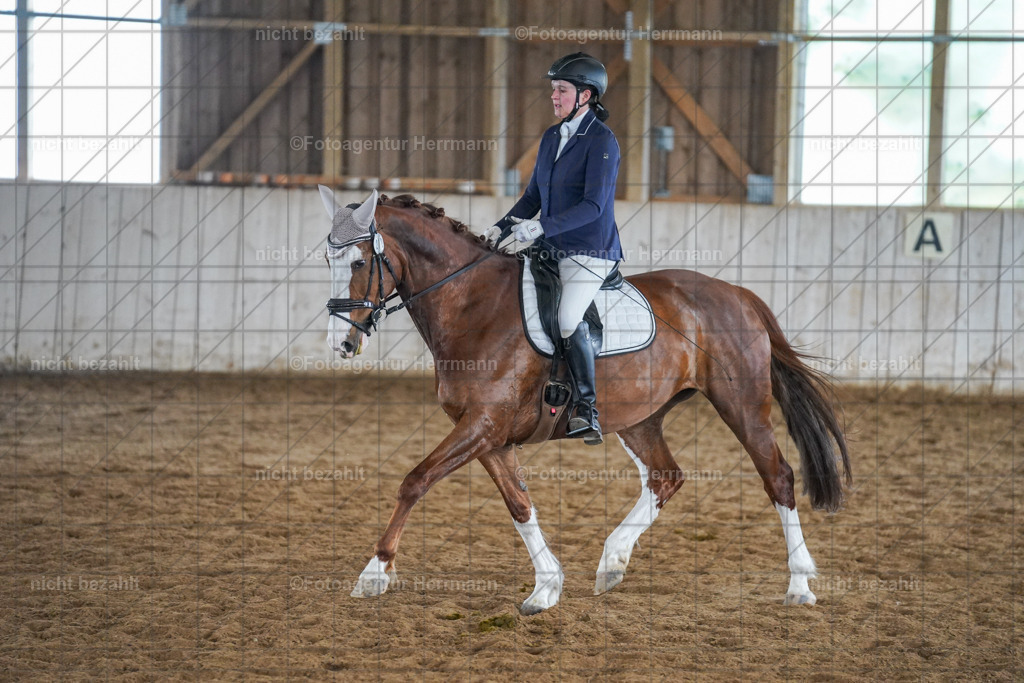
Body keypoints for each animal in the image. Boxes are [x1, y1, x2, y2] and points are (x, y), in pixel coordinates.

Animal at [318, 187, 851, 616]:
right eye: (327, 263)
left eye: (359, 263)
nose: (341, 344)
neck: (472, 304)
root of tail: (737, 293)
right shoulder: (488, 435)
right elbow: (519, 506)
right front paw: (546, 588)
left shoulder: (482, 425)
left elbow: (415, 481)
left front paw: (374, 573)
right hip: (639, 417)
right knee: (666, 477)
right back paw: (612, 561)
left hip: (741, 405)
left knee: (777, 476)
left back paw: (799, 584)